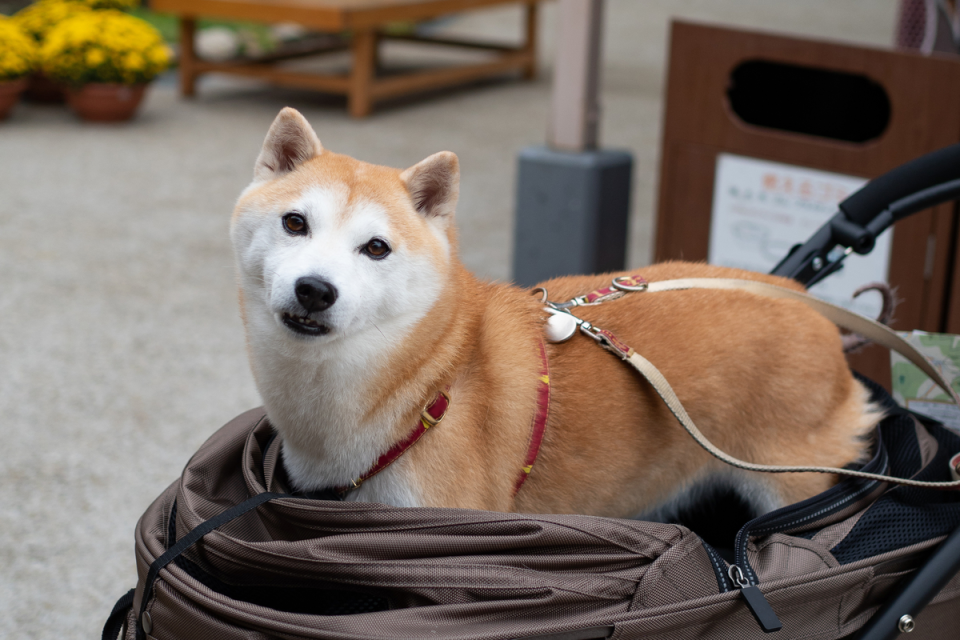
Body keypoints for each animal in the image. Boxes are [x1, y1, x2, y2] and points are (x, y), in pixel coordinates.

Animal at [229, 107, 880, 520]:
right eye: (295, 222)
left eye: (376, 248)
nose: (315, 290)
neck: (430, 383)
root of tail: (817, 313)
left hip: (794, 490)